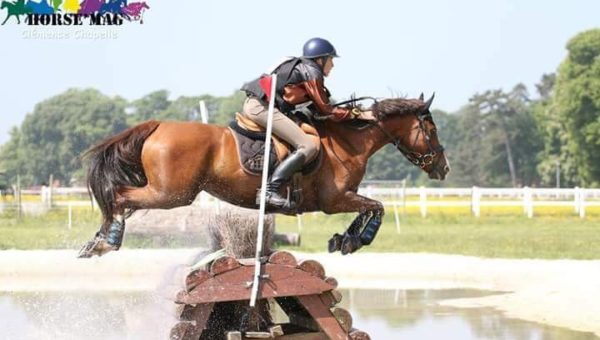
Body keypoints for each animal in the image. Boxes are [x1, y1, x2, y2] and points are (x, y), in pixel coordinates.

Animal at [77, 93, 448, 258]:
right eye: (431, 129)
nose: (443, 168)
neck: (348, 141)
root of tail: (157, 125)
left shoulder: (343, 199)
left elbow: (371, 207)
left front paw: (344, 239)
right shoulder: (335, 200)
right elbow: (376, 207)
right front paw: (357, 239)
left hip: (165, 192)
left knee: (117, 200)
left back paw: (96, 241)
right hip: (171, 194)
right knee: (118, 197)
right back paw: (107, 241)